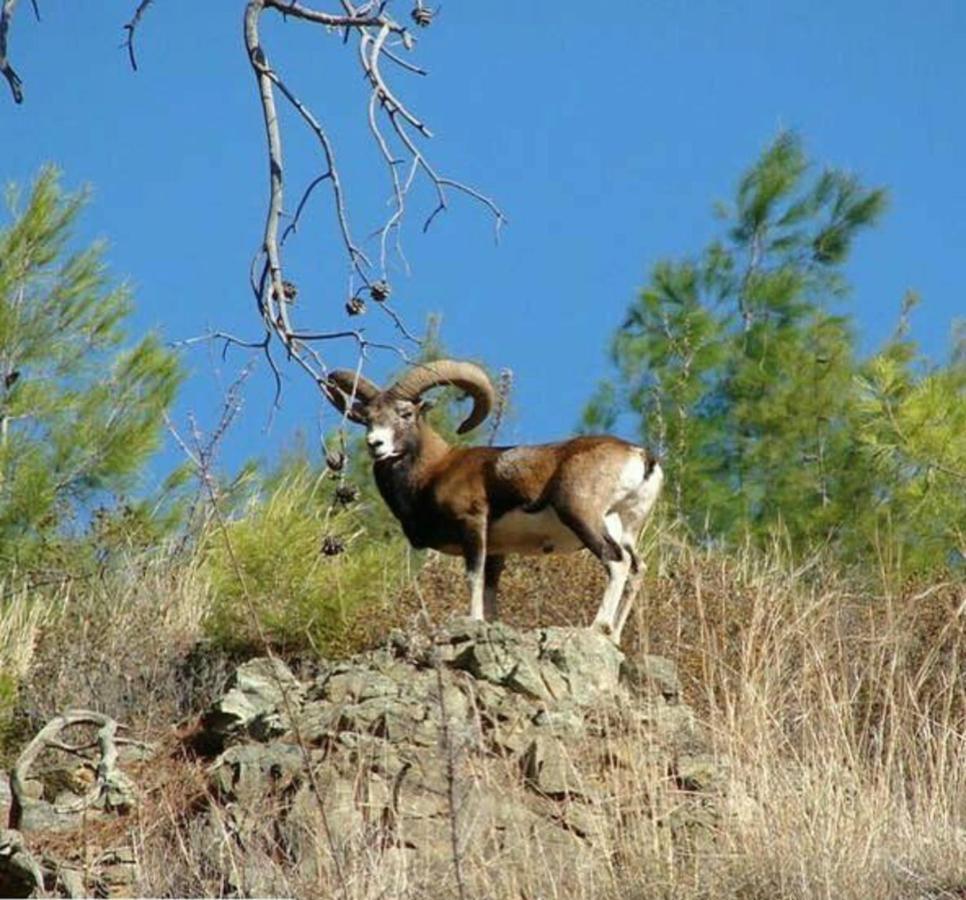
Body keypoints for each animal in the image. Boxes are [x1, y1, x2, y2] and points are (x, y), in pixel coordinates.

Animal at [326, 358, 664, 640]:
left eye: (405, 414)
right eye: (366, 419)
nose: (376, 444)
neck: (433, 472)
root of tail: (641, 457)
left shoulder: (472, 526)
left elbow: (473, 578)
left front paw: (472, 621)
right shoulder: (497, 551)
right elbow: (490, 590)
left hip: (582, 516)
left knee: (616, 562)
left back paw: (597, 627)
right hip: (625, 529)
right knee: (637, 569)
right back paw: (614, 636)